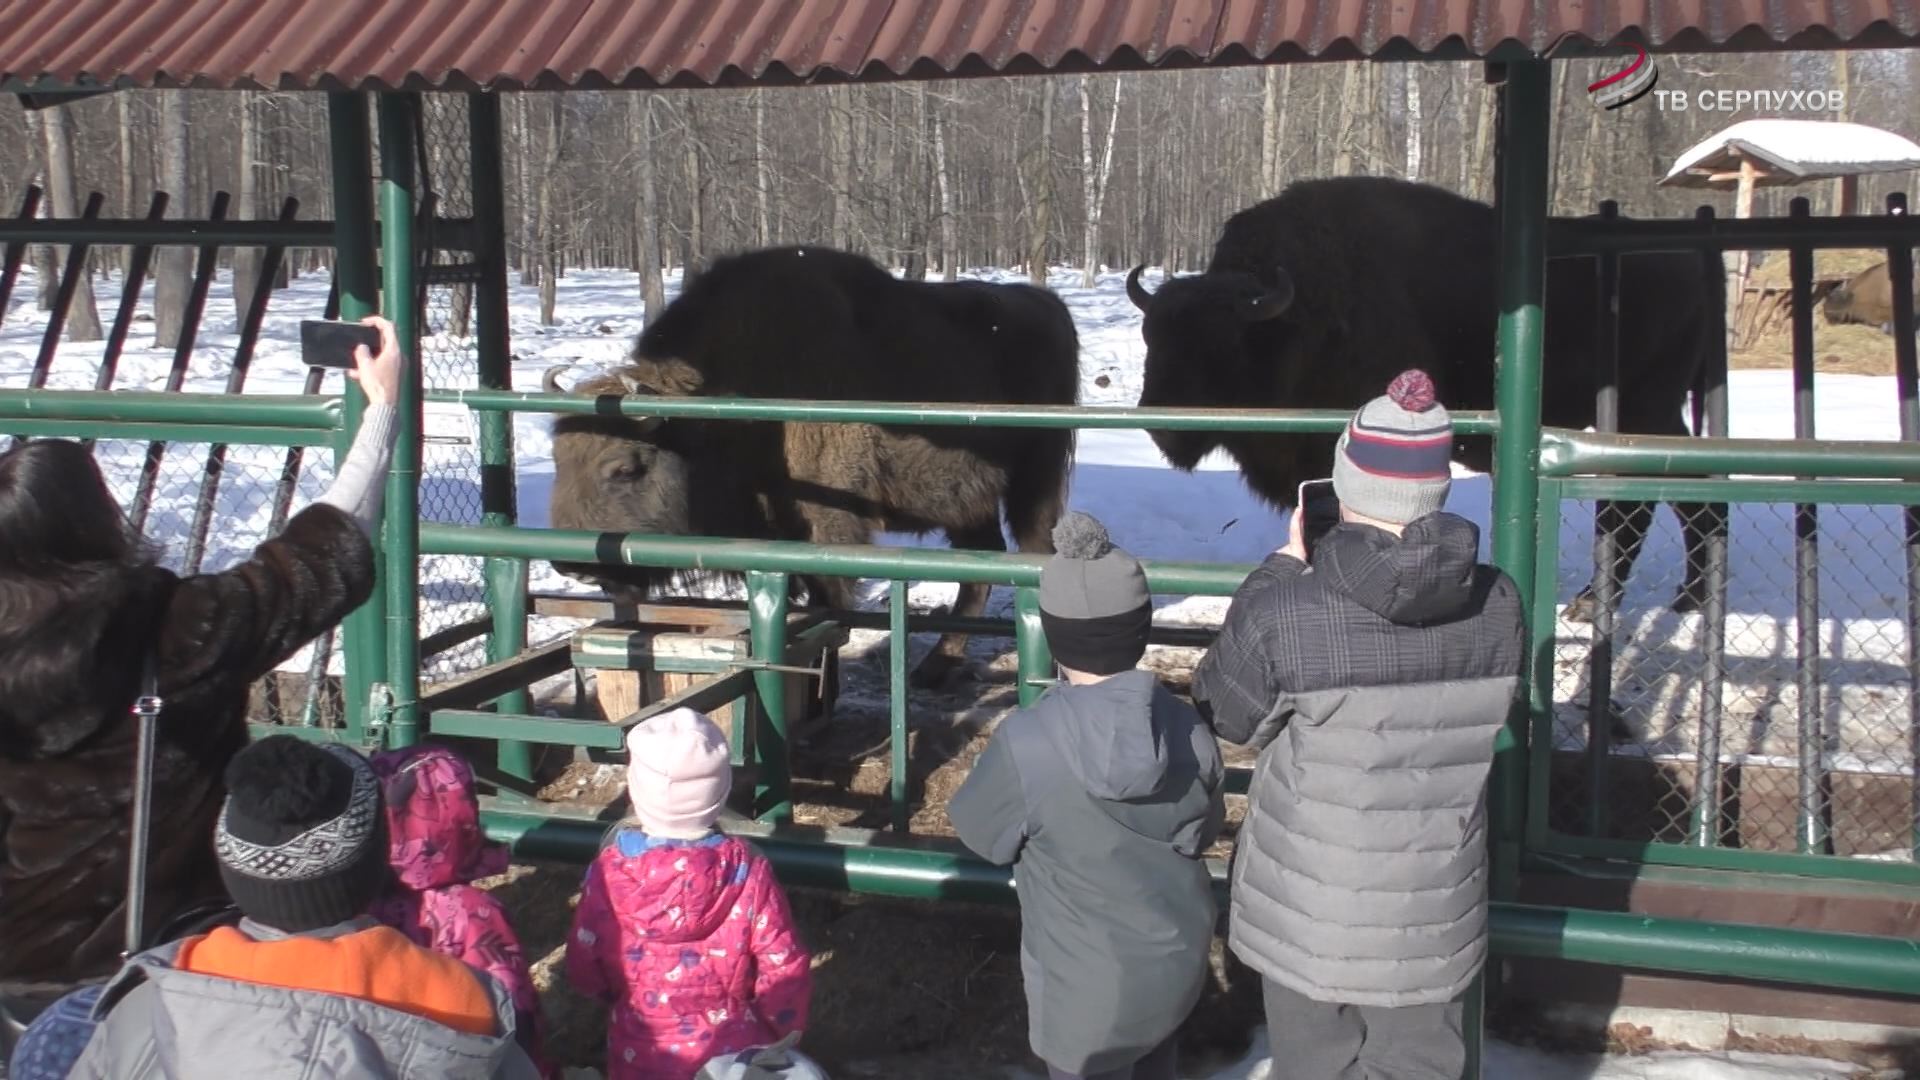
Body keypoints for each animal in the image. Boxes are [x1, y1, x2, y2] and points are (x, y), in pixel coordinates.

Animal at [541, 245, 1082, 684]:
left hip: (1035, 479)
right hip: (965, 501)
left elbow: (831, 607)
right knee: (981, 566)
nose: (571, 563)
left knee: (1032, 549)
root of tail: (1049, 307)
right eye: (557, 458)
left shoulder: (827, 529)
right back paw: (936, 669)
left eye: (625, 468)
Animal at [1121, 171, 1728, 618]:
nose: (1162, 423)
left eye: (1223, 344)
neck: (1293, 317)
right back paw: (1675, 597)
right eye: (1152, 336)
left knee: (1657, 499)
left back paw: (1626, 601)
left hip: (1646, 409)